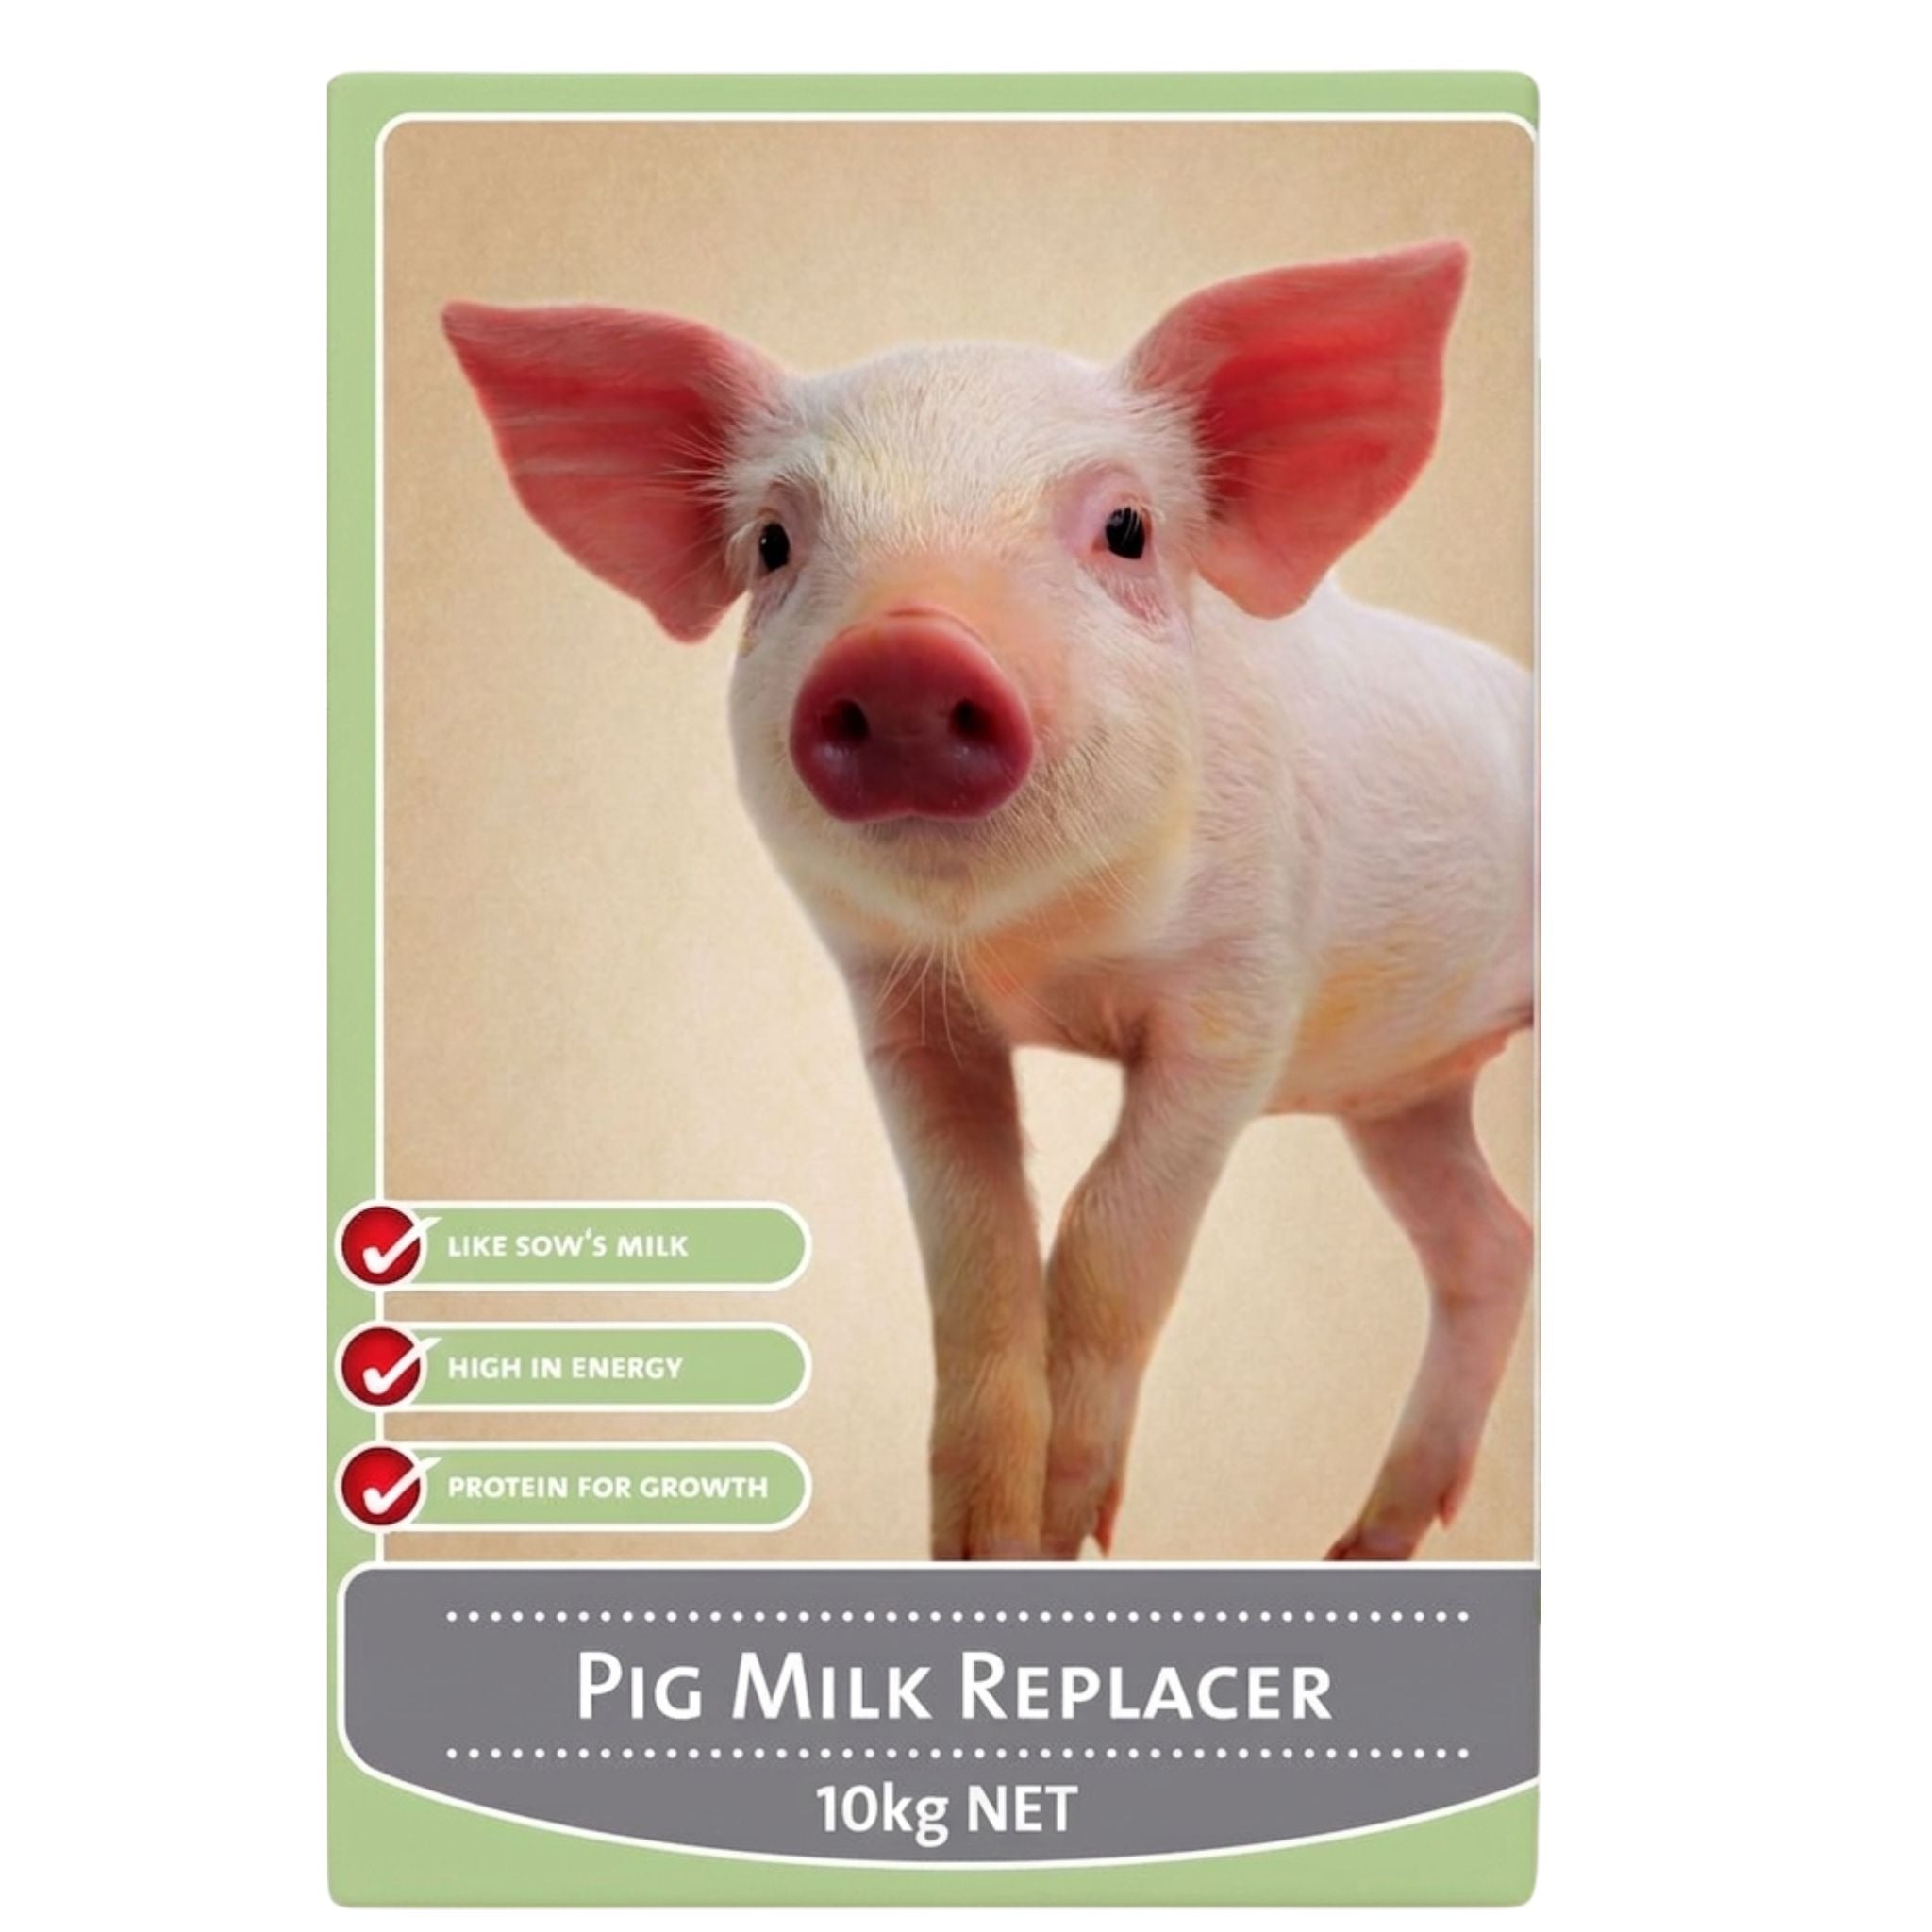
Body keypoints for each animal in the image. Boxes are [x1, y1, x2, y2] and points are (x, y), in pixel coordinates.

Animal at [444, 239, 1533, 1562]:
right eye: (772, 543)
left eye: (1125, 526)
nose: (906, 654)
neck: (1032, 956)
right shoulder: (900, 1013)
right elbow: (974, 1247)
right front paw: (976, 1543)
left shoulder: (1241, 997)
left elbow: (1113, 1231)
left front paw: (1066, 1532)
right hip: (1400, 1090)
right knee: (1490, 1242)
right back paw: (1361, 1545)